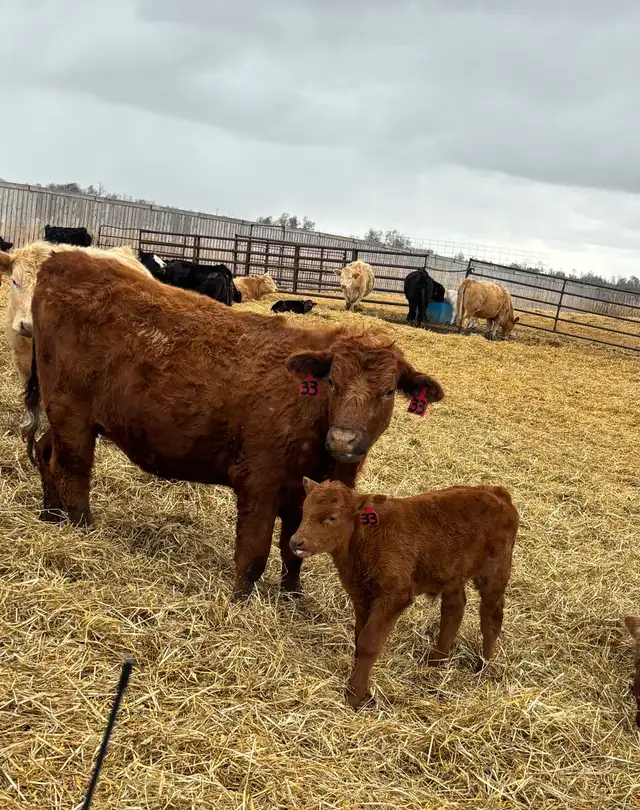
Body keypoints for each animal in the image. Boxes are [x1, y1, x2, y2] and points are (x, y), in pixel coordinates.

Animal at [23, 250, 444, 602]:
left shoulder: (303, 496)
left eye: (387, 392)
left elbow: (294, 550)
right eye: (333, 382)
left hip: (64, 416)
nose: (342, 439)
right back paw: (82, 528)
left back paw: (51, 513)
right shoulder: (259, 484)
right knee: (72, 470)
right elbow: (254, 553)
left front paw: (293, 598)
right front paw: (240, 600)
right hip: (72, 414)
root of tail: (63, 260)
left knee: (46, 453)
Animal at [290, 479, 518, 709]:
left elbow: (369, 641)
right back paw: (435, 662)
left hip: (494, 572)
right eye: (304, 510)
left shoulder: (394, 596)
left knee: (491, 618)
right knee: (454, 610)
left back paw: (483, 666)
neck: (368, 538)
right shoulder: (361, 596)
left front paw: (355, 695)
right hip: (453, 573)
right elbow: (359, 637)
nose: (296, 542)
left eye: (333, 517)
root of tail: (496, 493)